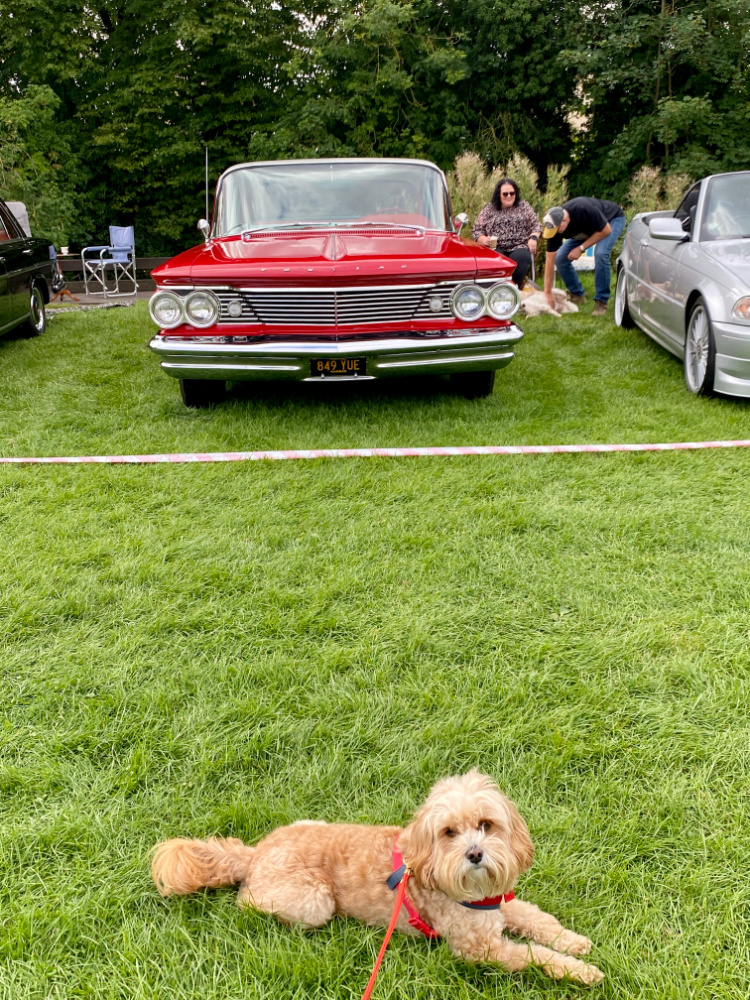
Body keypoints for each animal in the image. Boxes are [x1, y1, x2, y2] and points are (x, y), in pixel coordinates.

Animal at [153, 772, 604, 984]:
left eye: (485, 824)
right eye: (449, 832)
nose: (474, 853)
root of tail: (254, 854)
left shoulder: (500, 904)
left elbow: (538, 919)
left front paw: (574, 942)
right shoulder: (480, 949)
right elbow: (533, 955)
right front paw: (582, 972)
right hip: (314, 902)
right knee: (247, 902)